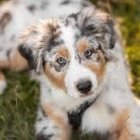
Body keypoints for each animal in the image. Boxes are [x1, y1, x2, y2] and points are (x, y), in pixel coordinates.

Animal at [0, 0, 140, 140]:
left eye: (88, 52)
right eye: (60, 60)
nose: (85, 86)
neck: (80, 103)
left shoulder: (130, 112)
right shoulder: (50, 121)